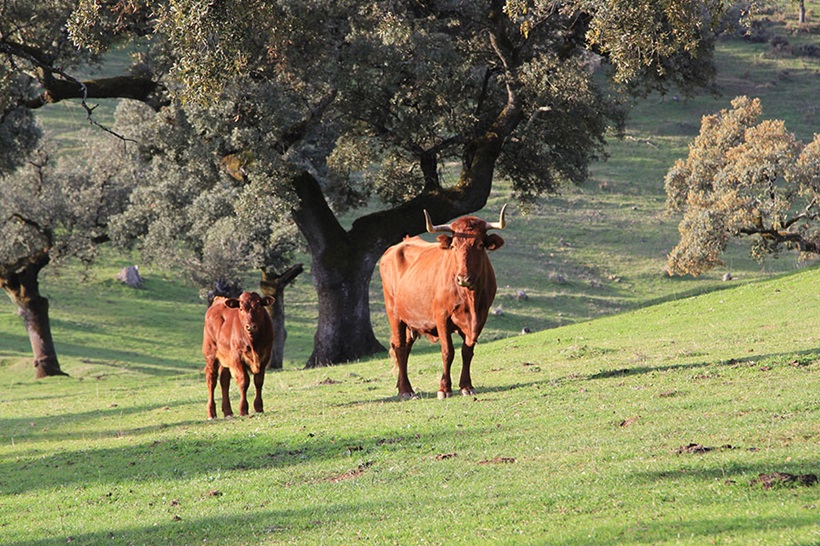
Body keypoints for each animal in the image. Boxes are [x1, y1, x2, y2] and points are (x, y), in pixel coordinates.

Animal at [382, 206, 506, 398]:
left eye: (479, 245)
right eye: (454, 246)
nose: (463, 278)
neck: (470, 298)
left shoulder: (480, 319)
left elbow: (467, 351)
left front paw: (466, 386)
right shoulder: (441, 317)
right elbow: (448, 352)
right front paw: (444, 389)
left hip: (410, 321)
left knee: (405, 348)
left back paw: (402, 386)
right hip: (394, 313)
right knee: (400, 347)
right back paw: (406, 390)